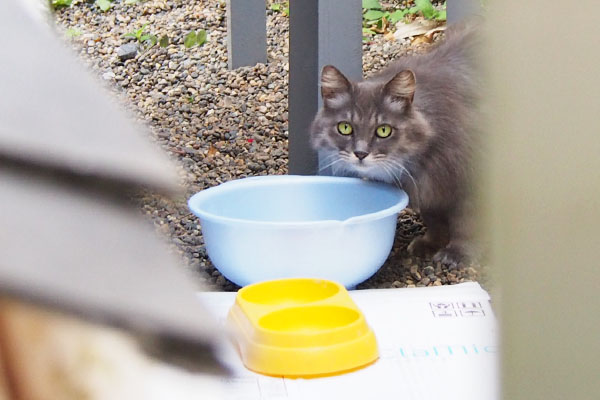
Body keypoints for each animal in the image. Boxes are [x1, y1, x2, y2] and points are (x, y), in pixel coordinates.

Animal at [310, 20, 482, 268]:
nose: (360, 153)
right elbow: (434, 220)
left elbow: (466, 226)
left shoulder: (470, 183)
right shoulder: (426, 191)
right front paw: (429, 244)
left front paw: (457, 254)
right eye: (345, 128)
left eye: (384, 130)